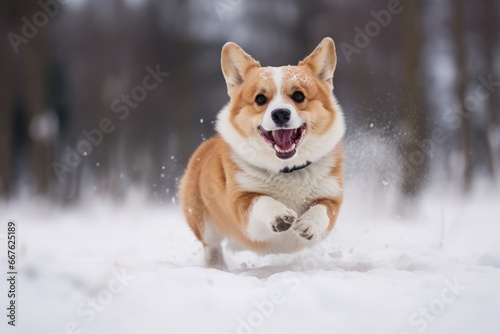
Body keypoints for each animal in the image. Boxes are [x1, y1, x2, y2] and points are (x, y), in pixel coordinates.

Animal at [181, 38, 348, 268]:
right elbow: (262, 201)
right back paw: (217, 266)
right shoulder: (242, 202)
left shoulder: (331, 195)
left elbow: (322, 210)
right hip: (203, 223)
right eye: (260, 99)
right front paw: (281, 216)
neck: (287, 170)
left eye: (298, 96)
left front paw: (308, 224)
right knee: (211, 246)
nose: (280, 114)